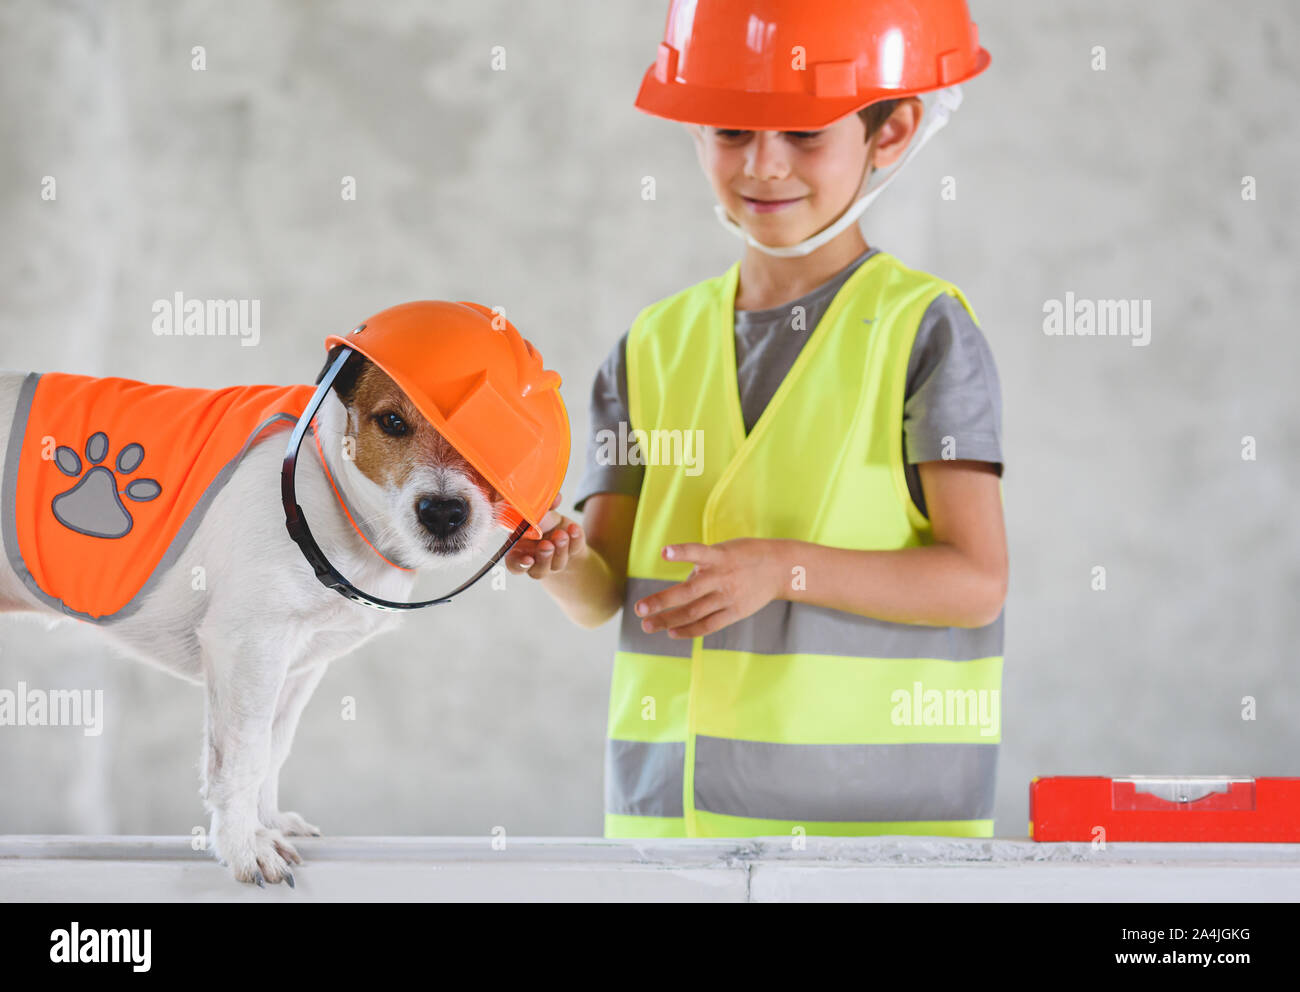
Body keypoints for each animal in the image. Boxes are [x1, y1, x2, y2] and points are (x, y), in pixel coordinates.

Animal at [1, 356, 517, 884]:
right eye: (392, 421)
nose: (444, 513)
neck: (330, 490)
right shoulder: (248, 646)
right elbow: (243, 757)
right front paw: (243, 846)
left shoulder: (297, 665)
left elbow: (273, 747)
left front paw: (265, 823)